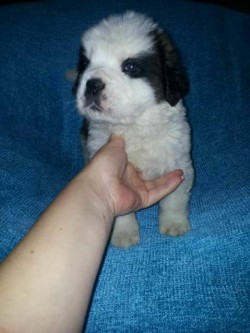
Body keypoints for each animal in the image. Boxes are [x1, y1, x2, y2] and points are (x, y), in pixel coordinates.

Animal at [73, 11, 194, 246]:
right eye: (86, 64)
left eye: (129, 67)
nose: (92, 84)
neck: (134, 125)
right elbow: (121, 211)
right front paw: (124, 233)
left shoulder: (178, 160)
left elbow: (175, 198)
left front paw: (174, 223)